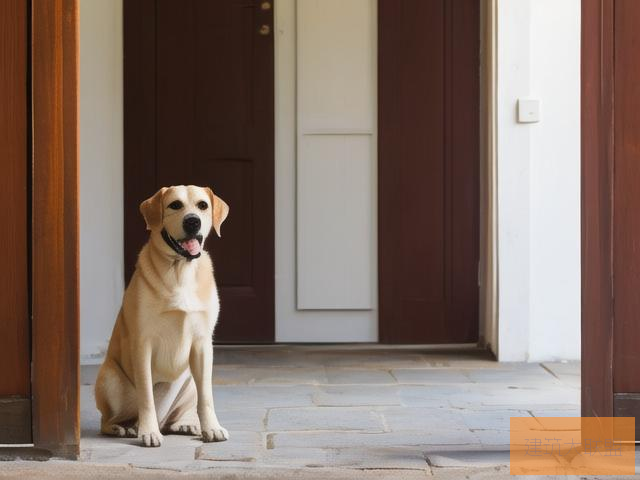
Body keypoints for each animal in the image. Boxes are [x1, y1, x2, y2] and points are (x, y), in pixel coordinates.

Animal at [95, 186, 230, 448]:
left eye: (202, 205)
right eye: (175, 205)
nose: (192, 221)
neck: (180, 270)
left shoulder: (202, 345)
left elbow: (206, 397)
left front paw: (211, 427)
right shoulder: (142, 344)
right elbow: (146, 396)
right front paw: (148, 432)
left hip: (188, 382)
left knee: (173, 417)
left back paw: (183, 424)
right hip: (111, 378)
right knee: (108, 419)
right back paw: (124, 427)